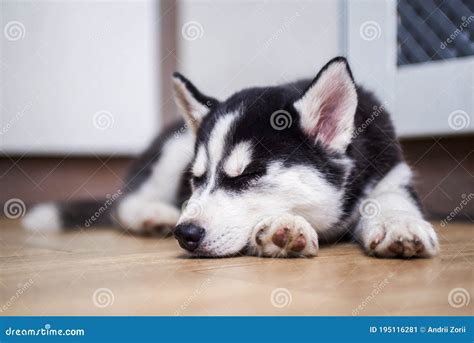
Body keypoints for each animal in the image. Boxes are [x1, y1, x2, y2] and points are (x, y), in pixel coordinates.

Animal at [24, 57, 440, 260]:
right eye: (196, 179)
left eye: (248, 175)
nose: (186, 233)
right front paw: (282, 228)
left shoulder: (392, 173)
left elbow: (390, 200)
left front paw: (400, 225)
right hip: (173, 149)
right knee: (125, 203)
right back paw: (153, 216)